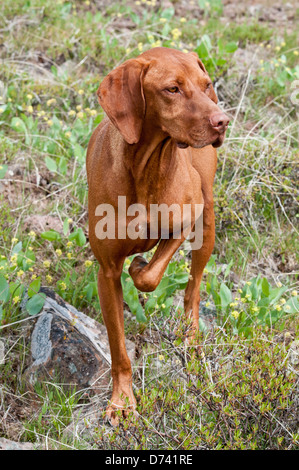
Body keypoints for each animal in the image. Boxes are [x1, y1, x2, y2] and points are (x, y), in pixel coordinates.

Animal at [86, 47, 230, 422]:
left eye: (205, 85)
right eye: (172, 89)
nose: (223, 121)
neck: (146, 167)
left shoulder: (187, 217)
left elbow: (151, 276)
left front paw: (139, 267)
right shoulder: (106, 273)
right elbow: (118, 349)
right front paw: (122, 401)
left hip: (207, 222)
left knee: (193, 289)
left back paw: (191, 342)